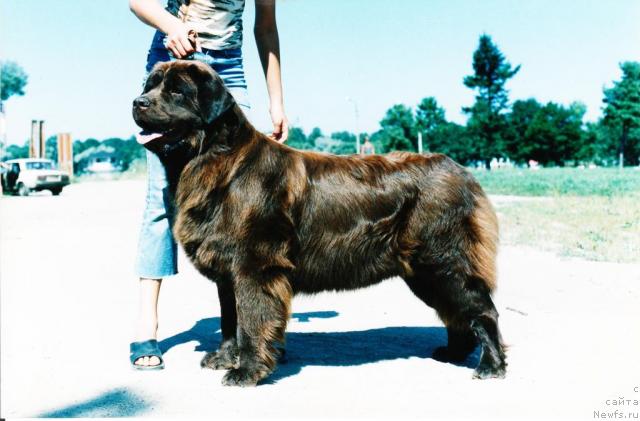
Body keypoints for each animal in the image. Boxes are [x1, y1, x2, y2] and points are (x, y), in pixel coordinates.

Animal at [134, 60, 504, 386]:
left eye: (177, 90)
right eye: (150, 86)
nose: (137, 102)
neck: (219, 162)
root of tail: (461, 171)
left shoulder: (254, 266)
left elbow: (250, 319)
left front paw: (246, 371)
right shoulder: (228, 271)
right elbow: (229, 320)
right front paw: (225, 358)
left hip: (443, 259)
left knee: (481, 310)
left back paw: (490, 365)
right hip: (424, 271)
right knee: (455, 312)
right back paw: (453, 353)